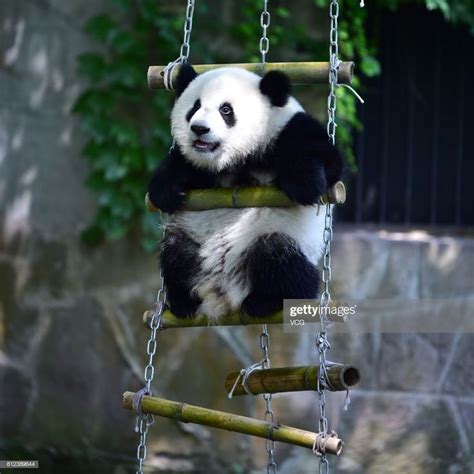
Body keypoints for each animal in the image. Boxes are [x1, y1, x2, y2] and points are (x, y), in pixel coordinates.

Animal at [147, 65, 340, 320]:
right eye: (195, 107)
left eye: (225, 110)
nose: (199, 128)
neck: (234, 160)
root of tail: (224, 296)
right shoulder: (198, 166)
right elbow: (178, 163)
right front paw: (165, 192)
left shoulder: (288, 129)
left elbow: (328, 162)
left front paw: (305, 183)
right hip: (190, 239)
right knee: (174, 255)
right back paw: (183, 301)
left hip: (278, 237)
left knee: (283, 262)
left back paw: (264, 301)